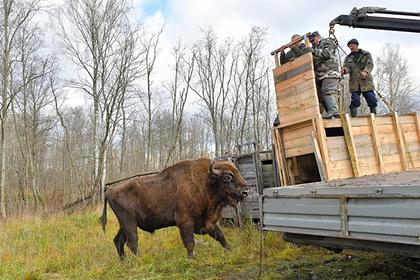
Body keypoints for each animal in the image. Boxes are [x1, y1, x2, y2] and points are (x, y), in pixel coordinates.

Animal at [99, 158, 248, 258]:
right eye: (227, 177)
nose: (245, 191)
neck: (205, 182)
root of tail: (109, 189)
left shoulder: (209, 222)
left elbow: (221, 236)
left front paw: (230, 251)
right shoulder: (185, 221)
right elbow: (190, 242)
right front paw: (192, 259)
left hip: (125, 224)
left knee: (118, 241)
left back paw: (124, 262)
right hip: (129, 222)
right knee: (132, 242)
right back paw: (138, 261)